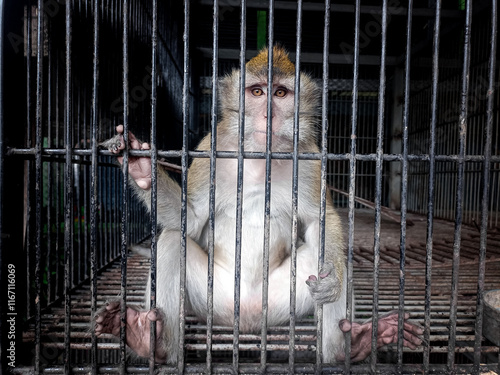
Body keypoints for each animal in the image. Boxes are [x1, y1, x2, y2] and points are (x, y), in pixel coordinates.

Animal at [94, 44, 422, 364]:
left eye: (280, 94)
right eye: (256, 92)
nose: (268, 115)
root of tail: (249, 322)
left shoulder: (309, 158)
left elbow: (319, 220)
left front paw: (334, 279)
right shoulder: (212, 149)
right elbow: (191, 218)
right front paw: (139, 166)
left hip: (280, 302)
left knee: (335, 259)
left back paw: (349, 347)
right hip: (213, 300)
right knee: (174, 240)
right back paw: (151, 343)